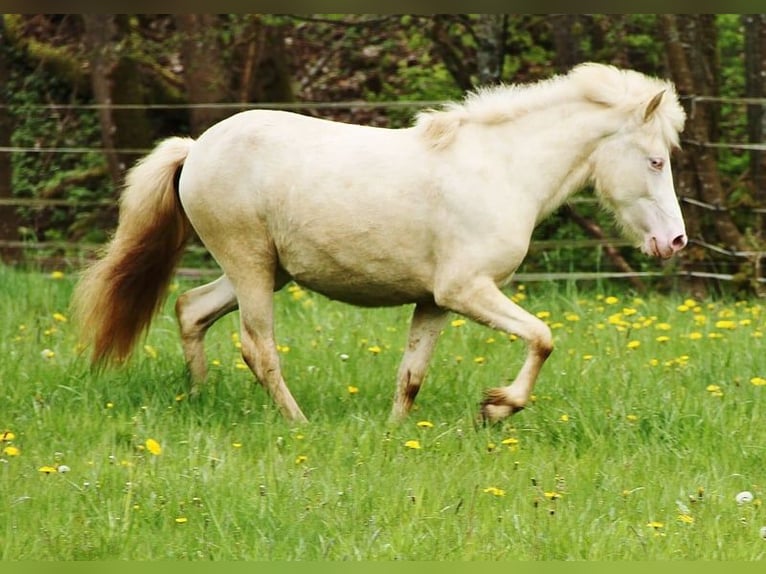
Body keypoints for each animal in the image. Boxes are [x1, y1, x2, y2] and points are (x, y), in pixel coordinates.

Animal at [73, 63, 688, 426]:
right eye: (656, 161)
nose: (674, 241)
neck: (502, 169)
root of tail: (196, 147)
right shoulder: (467, 291)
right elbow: (543, 337)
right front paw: (497, 408)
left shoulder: (435, 302)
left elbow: (411, 375)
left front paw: (397, 435)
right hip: (250, 266)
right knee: (257, 346)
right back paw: (298, 425)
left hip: (266, 271)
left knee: (191, 310)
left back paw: (198, 398)